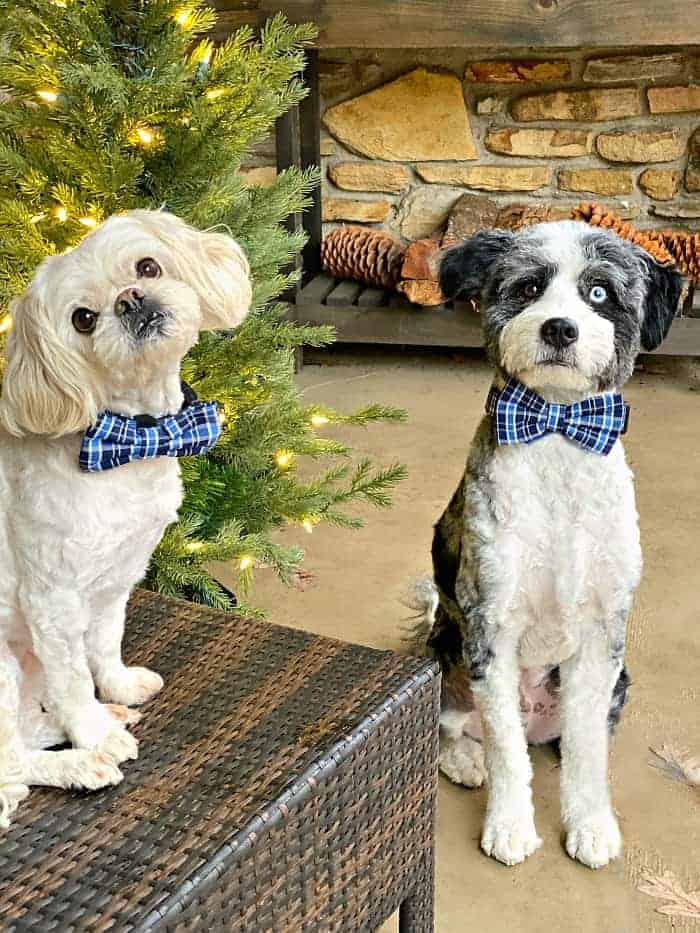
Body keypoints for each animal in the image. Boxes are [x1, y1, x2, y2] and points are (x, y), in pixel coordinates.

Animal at [0, 209, 252, 824]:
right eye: (83, 319)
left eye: (148, 267)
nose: (131, 299)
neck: (131, 439)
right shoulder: (53, 599)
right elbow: (72, 678)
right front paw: (92, 733)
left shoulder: (117, 576)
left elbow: (105, 641)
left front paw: (115, 690)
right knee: (8, 769)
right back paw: (81, 760)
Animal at [418, 218, 680, 868]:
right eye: (530, 286)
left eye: (600, 293)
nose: (559, 327)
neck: (559, 432)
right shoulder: (491, 629)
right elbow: (508, 756)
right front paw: (510, 826)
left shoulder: (600, 638)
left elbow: (588, 752)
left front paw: (590, 823)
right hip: (445, 654)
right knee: (461, 730)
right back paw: (466, 761)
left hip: (620, 679)